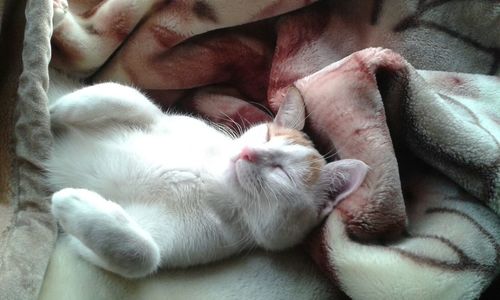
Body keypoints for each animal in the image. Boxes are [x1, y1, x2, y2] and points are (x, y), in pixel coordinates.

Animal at [46, 81, 368, 278]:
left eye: (282, 171)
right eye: (266, 136)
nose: (249, 153)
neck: (211, 178)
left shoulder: (174, 244)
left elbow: (142, 255)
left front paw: (72, 202)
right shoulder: (164, 120)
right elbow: (131, 98)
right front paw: (57, 109)